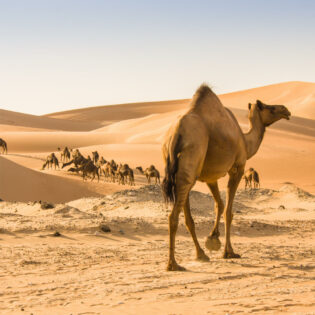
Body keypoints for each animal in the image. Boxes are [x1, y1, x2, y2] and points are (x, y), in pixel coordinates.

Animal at [163, 84, 292, 272]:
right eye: (270, 107)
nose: (286, 110)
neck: (245, 141)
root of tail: (175, 134)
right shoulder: (237, 168)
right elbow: (228, 211)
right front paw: (229, 252)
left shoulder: (210, 177)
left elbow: (219, 204)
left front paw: (213, 238)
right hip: (191, 161)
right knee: (173, 215)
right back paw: (173, 263)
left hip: (182, 171)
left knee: (187, 216)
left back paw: (200, 254)